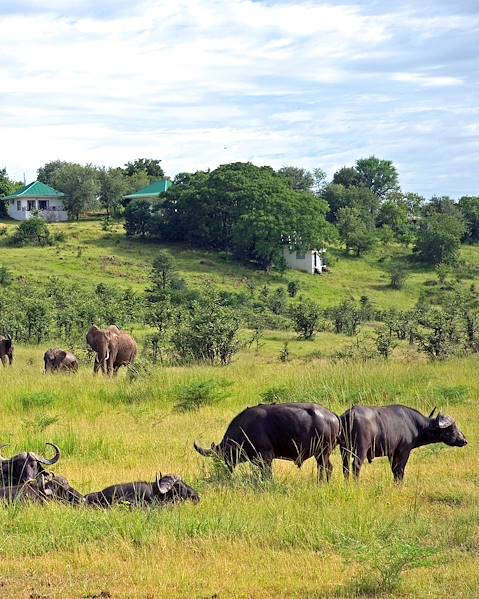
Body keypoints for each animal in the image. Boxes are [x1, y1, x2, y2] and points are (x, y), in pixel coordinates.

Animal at [193, 404, 340, 482]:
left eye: (226, 455)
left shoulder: (266, 458)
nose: (226, 469)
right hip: (321, 454)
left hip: (323, 453)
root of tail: (332, 415)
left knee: (326, 467)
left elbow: (267, 474)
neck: (246, 429)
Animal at [338, 404, 468, 482]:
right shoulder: (404, 451)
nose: (464, 440)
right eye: (451, 428)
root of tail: (350, 415)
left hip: (344, 449)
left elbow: (394, 470)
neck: (415, 425)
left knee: (345, 466)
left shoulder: (392, 453)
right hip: (361, 449)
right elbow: (400, 470)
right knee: (356, 465)